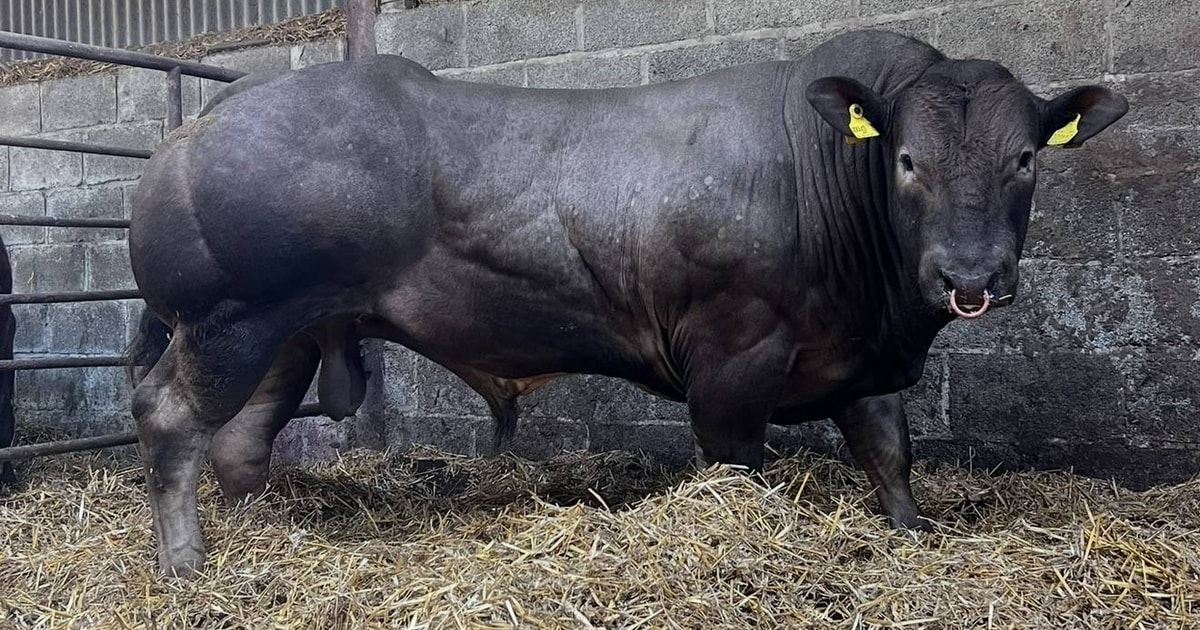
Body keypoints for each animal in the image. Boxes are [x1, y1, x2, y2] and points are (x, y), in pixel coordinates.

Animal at [127, 29, 1127, 576]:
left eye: (1025, 159)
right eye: (909, 160)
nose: (970, 275)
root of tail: (198, 123)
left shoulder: (864, 360)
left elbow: (891, 456)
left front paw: (913, 536)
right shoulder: (733, 357)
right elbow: (735, 465)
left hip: (288, 332)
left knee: (239, 440)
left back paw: (269, 528)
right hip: (230, 320)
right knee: (169, 417)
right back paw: (186, 563)